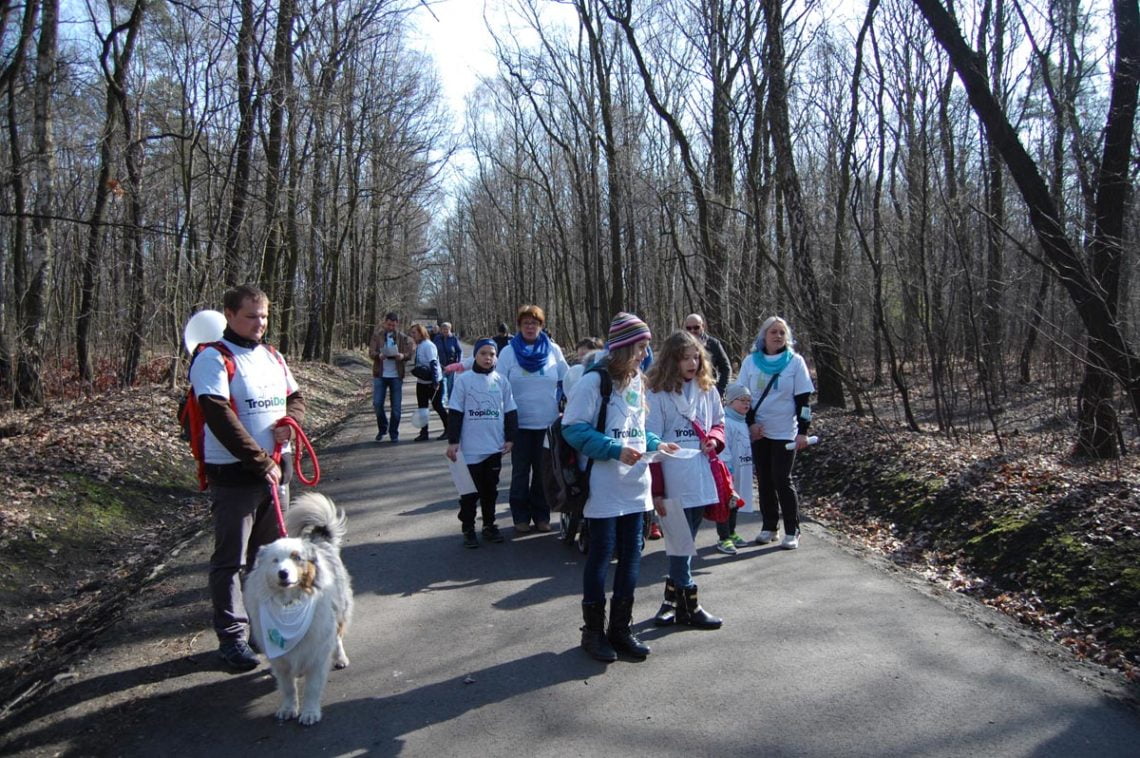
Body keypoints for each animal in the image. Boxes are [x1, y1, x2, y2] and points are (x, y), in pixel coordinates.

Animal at [247, 487, 353, 724]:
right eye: (275, 561)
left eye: (296, 557)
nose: (283, 573)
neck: (289, 605)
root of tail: (318, 539)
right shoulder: (282, 662)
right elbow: (288, 688)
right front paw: (288, 708)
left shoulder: (317, 652)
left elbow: (312, 688)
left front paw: (310, 712)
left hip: (339, 611)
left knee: (338, 637)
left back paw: (341, 658)